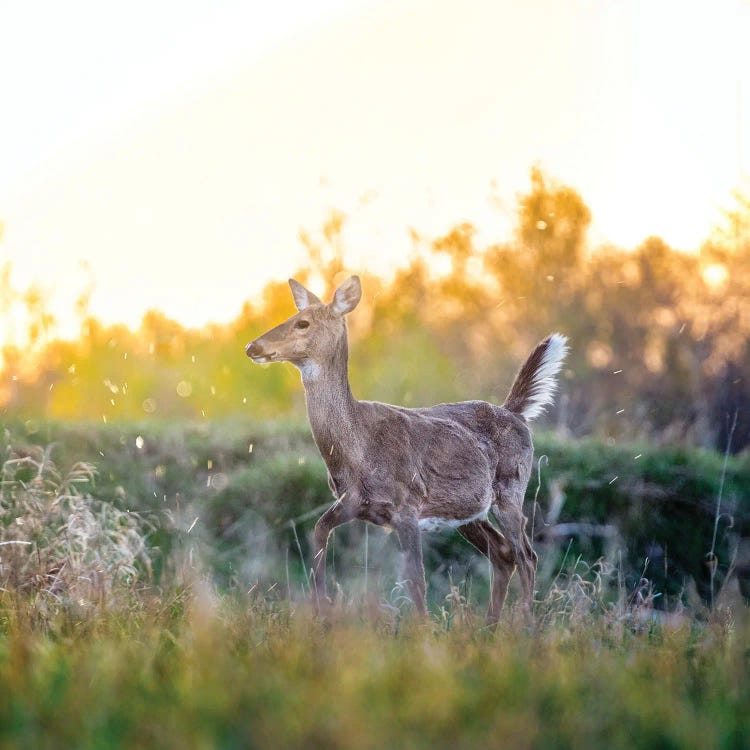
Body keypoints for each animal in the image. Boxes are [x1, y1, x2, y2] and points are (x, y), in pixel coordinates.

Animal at [247, 276, 568, 624]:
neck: (357, 448)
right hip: (468, 511)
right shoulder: (354, 502)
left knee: (527, 555)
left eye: (302, 323)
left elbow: (416, 579)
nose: (252, 347)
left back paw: (527, 624)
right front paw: (322, 614)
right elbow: (318, 535)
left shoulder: (407, 504)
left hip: (511, 488)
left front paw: (423, 630)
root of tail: (515, 412)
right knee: (503, 554)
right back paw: (490, 626)